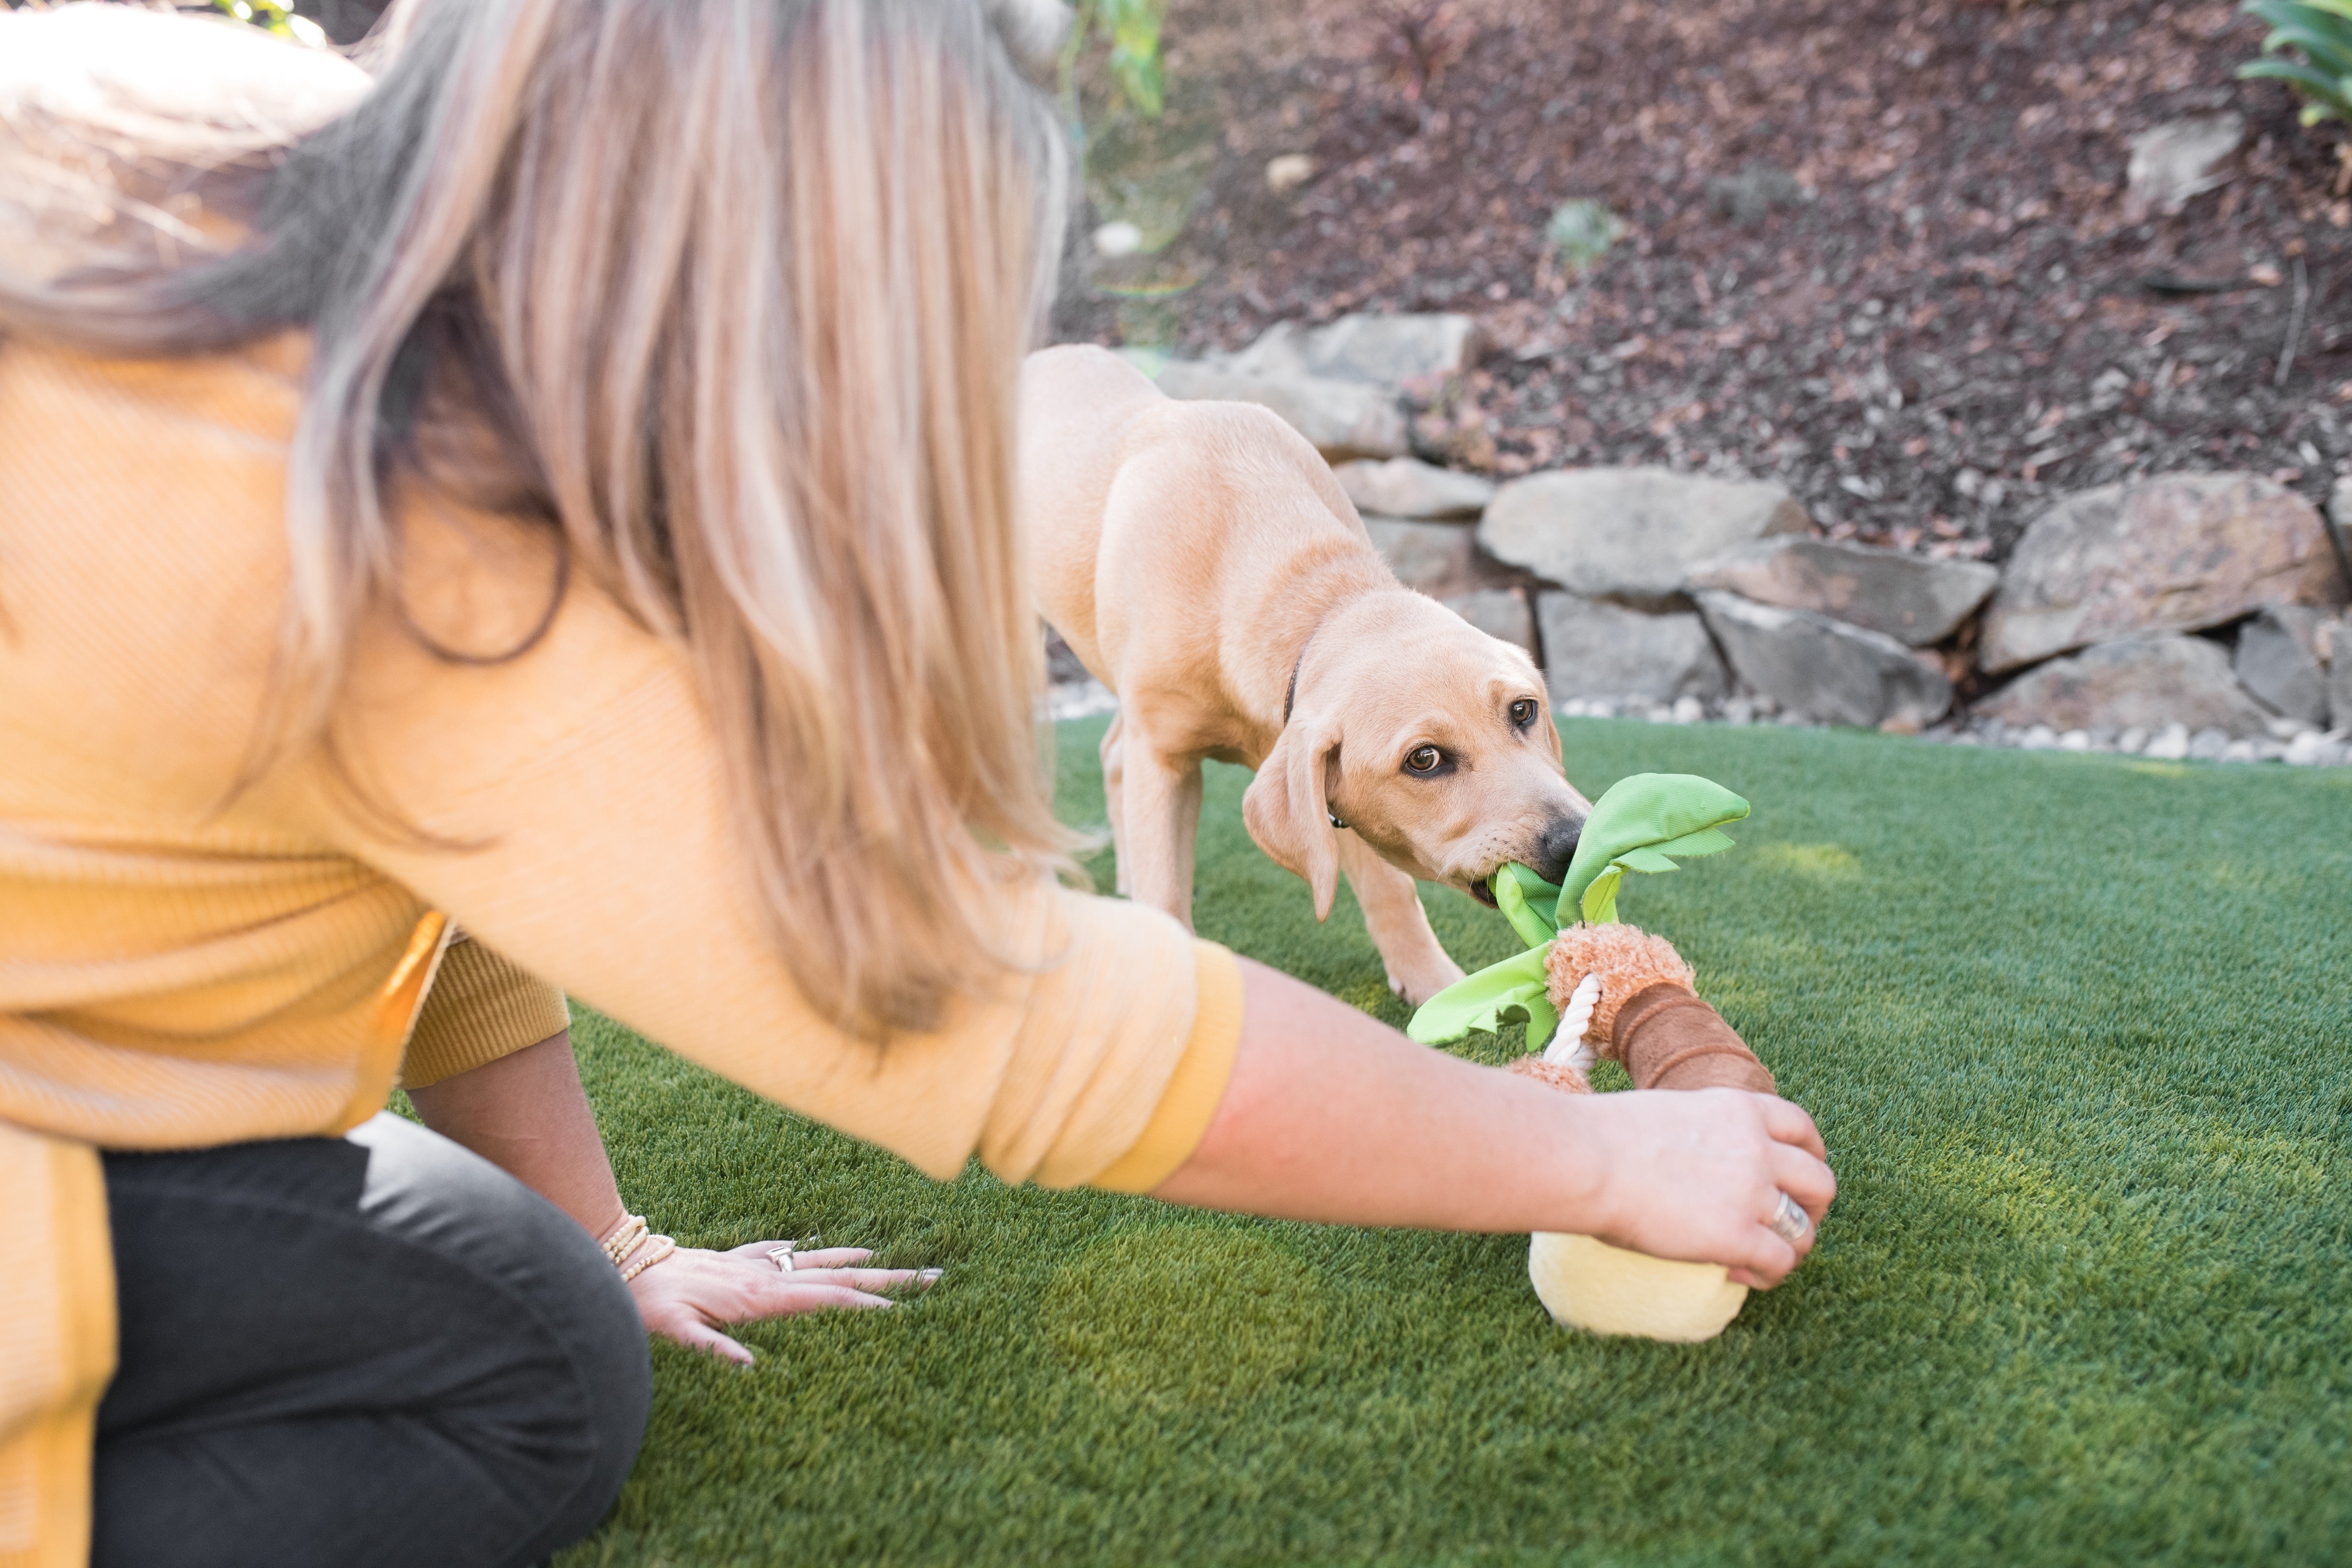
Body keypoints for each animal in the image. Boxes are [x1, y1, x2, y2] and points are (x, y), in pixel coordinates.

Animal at [1021, 345, 1590, 1006]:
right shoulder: (1164, 758)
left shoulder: (1320, 784)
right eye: (1424, 760)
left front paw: (1430, 983)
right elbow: (1165, 889)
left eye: (1523, 711)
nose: (1575, 842)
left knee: (1112, 753)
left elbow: (1390, 889)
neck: (1297, 587)